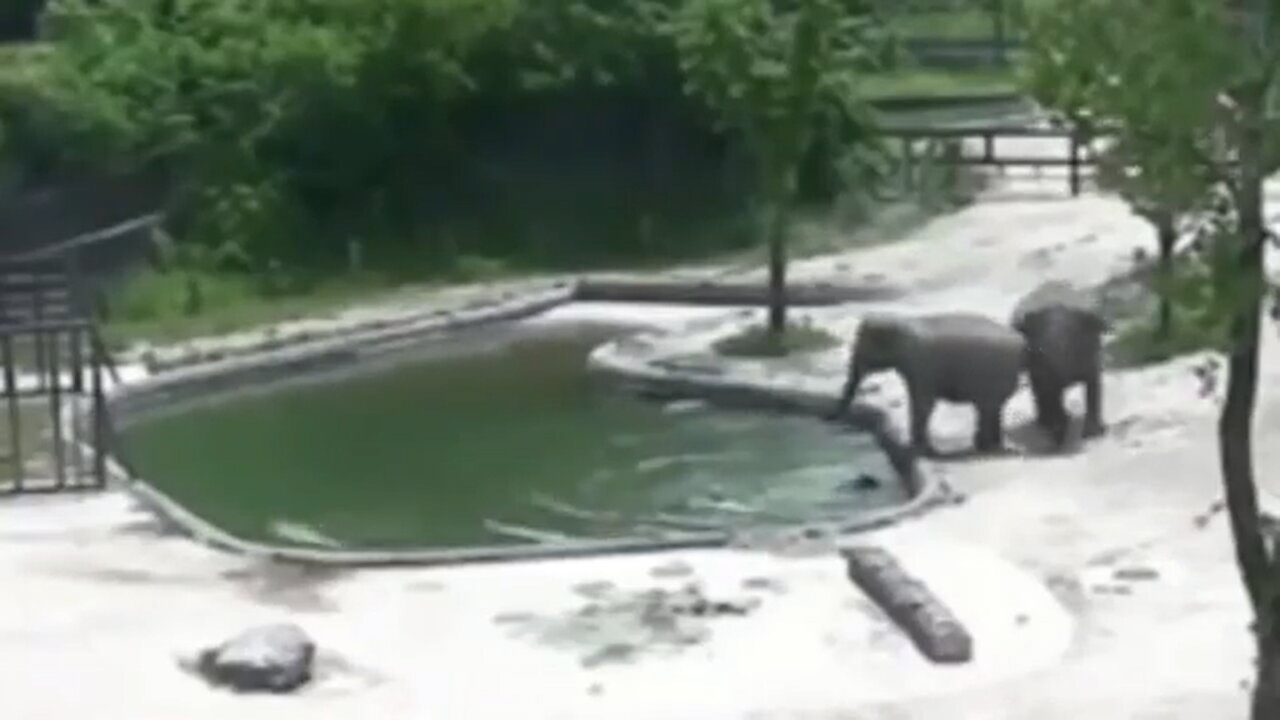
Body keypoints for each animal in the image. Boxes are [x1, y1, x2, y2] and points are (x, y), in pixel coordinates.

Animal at [824, 308, 1024, 453]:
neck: (902, 321)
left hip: (996, 376)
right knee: (990, 408)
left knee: (988, 407)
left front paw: (918, 449)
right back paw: (988, 447)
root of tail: (1022, 343)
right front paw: (919, 448)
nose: (830, 419)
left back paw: (988, 448)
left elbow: (924, 402)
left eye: (864, 344)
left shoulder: (921, 364)